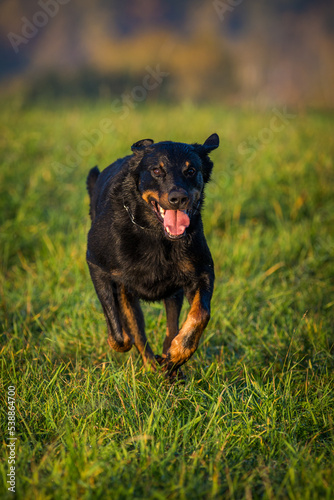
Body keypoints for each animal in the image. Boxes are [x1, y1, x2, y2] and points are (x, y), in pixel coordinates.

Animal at [87, 134, 219, 378]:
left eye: (191, 170)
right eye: (157, 170)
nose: (178, 198)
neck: (157, 235)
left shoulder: (202, 271)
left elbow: (201, 314)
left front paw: (178, 354)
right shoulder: (96, 264)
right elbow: (119, 332)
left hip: (174, 293)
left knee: (171, 326)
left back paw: (169, 363)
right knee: (135, 329)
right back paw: (152, 366)